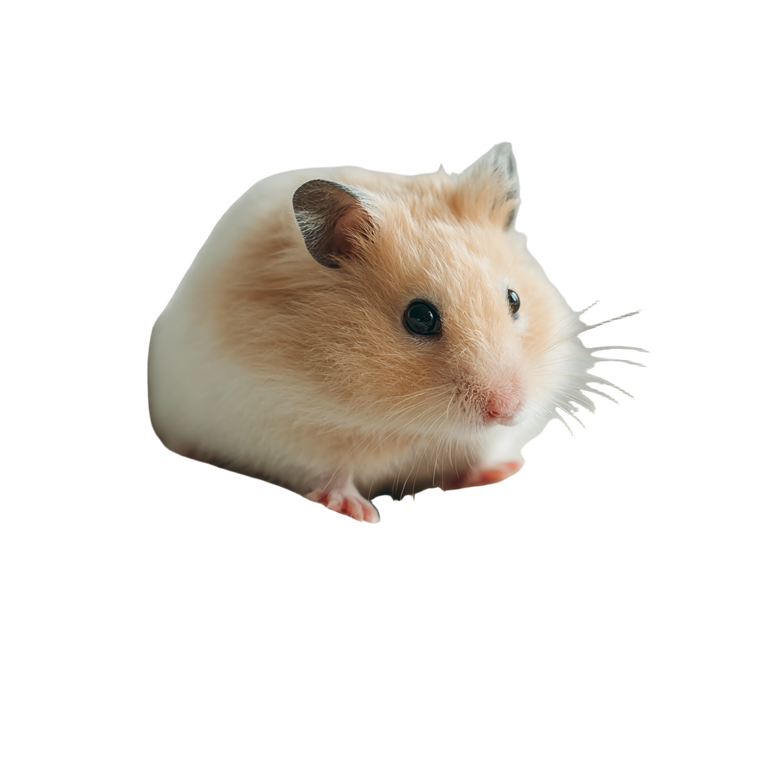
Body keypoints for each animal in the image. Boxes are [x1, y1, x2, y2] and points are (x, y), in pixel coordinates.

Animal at [144, 139, 653, 526]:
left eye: (515, 300)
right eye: (420, 318)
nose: (507, 411)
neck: (410, 425)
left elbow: (474, 458)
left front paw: (505, 469)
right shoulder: (273, 420)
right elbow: (327, 471)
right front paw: (359, 513)